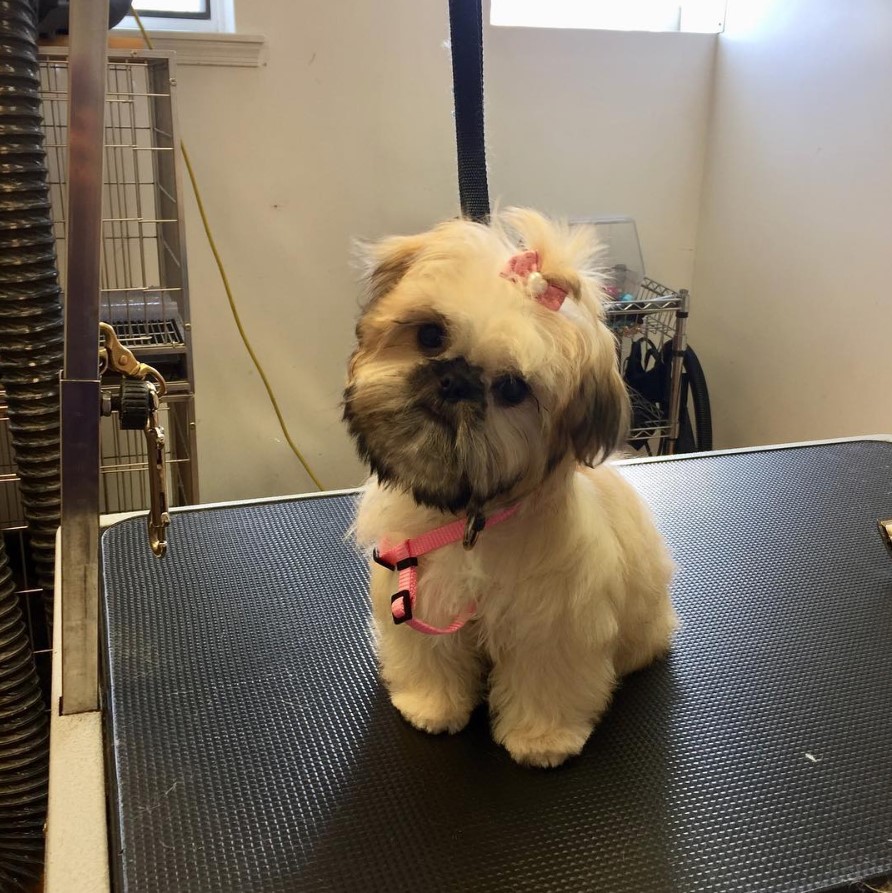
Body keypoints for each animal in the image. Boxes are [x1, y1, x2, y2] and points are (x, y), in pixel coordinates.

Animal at [344, 207, 676, 768]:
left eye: (512, 389)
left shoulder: (553, 623)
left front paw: (542, 739)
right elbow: (429, 655)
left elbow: (546, 678)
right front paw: (429, 705)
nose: (454, 381)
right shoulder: (424, 594)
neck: (467, 516)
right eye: (430, 335)